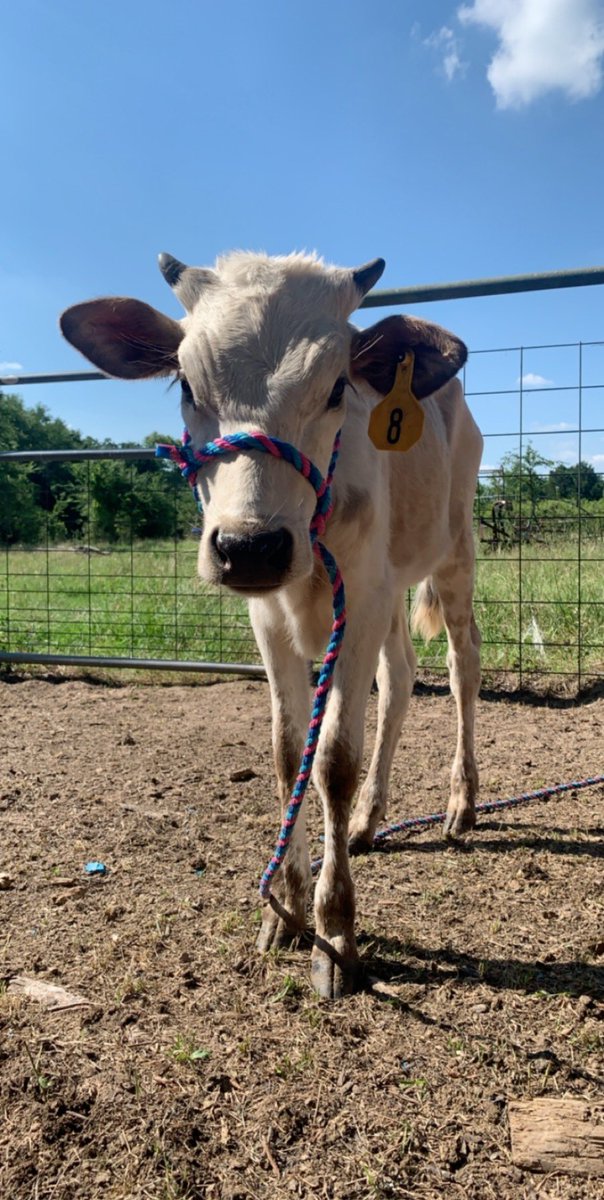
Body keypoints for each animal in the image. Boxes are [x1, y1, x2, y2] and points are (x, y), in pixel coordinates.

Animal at [60, 251, 483, 999]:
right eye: (186, 384)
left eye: (338, 385)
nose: (251, 547)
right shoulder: (276, 617)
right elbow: (291, 756)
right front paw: (284, 910)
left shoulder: (359, 602)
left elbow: (334, 760)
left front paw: (335, 930)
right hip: (393, 584)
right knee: (401, 677)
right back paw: (370, 818)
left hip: (454, 550)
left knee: (463, 666)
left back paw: (461, 801)